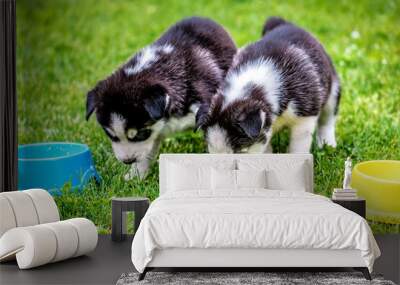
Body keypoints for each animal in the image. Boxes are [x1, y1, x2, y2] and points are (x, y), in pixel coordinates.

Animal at [86, 16, 236, 179]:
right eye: (110, 135)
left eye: (141, 133)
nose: (127, 161)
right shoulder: (155, 132)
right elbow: (147, 152)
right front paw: (135, 176)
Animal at [197, 17, 340, 153]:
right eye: (210, 148)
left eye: (241, 151)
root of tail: (285, 23)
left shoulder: (305, 117)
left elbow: (298, 148)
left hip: (333, 90)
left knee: (327, 120)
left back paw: (327, 143)